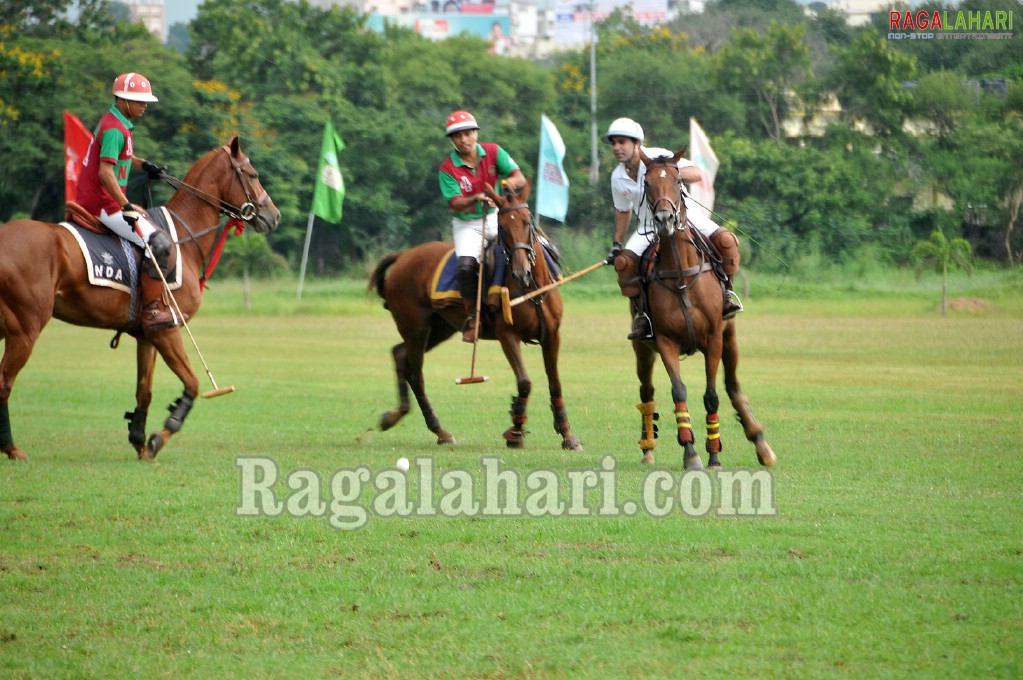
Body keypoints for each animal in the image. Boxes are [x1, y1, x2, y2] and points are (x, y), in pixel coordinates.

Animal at [0, 134, 280, 458]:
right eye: (253, 174)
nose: (274, 215)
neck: (184, 236)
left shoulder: (148, 333)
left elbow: (144, 390)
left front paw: (140, 441)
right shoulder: (167, 329)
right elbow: (193, 382)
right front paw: (162, 433)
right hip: (25, 326)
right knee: (4, 381)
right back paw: (11, 448)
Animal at [374, 179, 585, 449]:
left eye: (527, 222)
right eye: (502, 227)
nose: (521, 272)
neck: (532, 288)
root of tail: (402, 256)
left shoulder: (551, 335)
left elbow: (555, 382)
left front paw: (568, 435)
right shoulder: (507, 335)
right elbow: (525, 382)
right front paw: (516, 431)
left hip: (439, 327)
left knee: (400, 354)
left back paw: (396, 416)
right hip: (415, 326)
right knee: (415, 371)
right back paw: (440, 430)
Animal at [630, 148, 773, 470]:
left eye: (677, 180)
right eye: (647, 184)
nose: (665, 218)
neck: (681, 273)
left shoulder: (714, 338)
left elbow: (711, 396)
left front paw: (714, 454)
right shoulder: (665, 341)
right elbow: (678, 391)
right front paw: (691, 452)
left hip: (730, 337)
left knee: (732, 386)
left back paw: (761, 444)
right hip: (642, 348)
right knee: (646, 390)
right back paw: (647, 448)